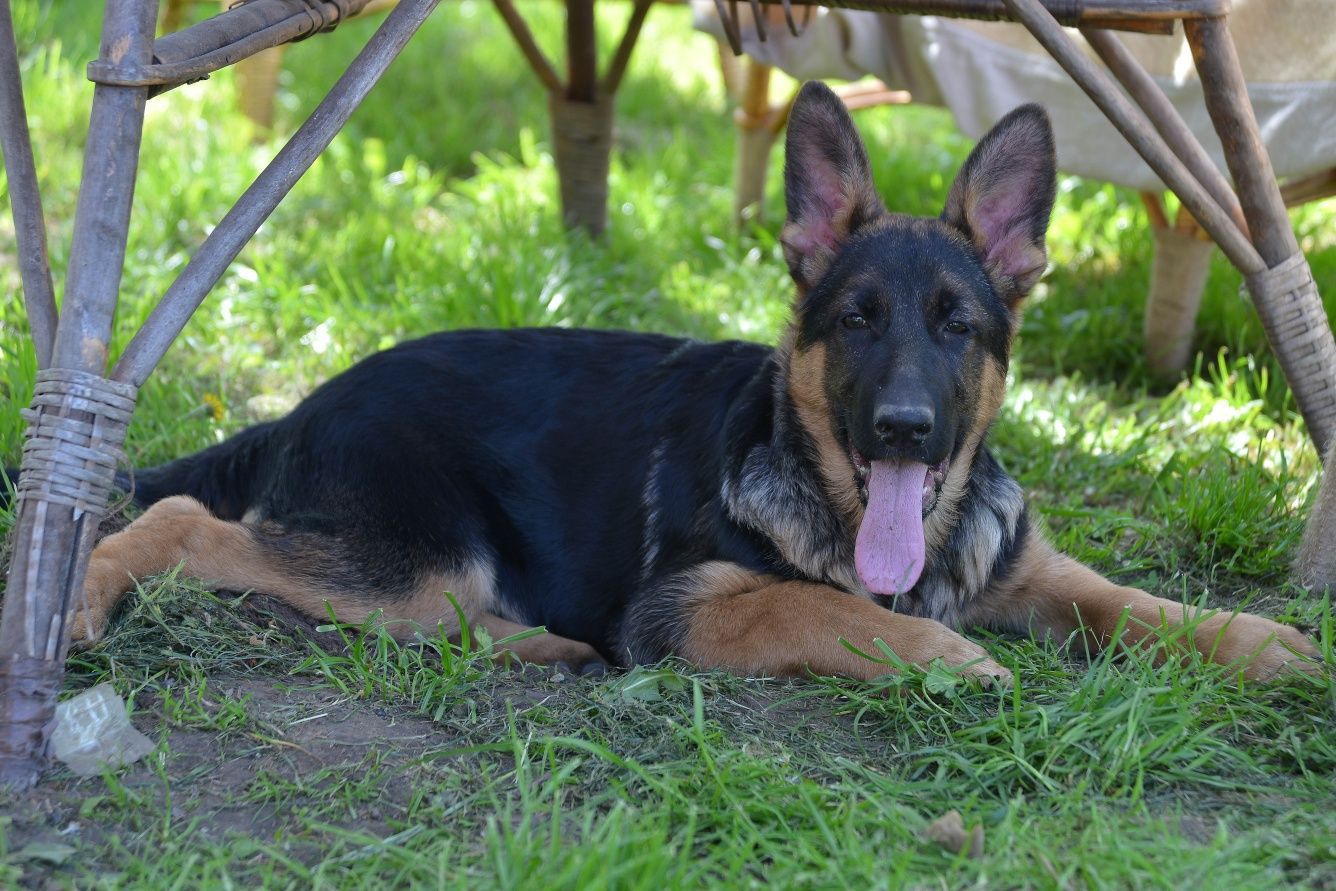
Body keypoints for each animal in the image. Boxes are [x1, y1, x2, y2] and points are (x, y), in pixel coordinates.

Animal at [70, 83, 1314, 683]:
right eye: (856, 322)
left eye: (957, 328)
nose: (904, 429)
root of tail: (309, 400)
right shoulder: (692, 603)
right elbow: (825, 606)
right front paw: (944, 657)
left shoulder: (1022, 565)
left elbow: (1125, 599)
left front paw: (1251, 642)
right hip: (413, 561)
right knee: (185, 521)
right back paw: (83, 592)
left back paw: (546, 648)